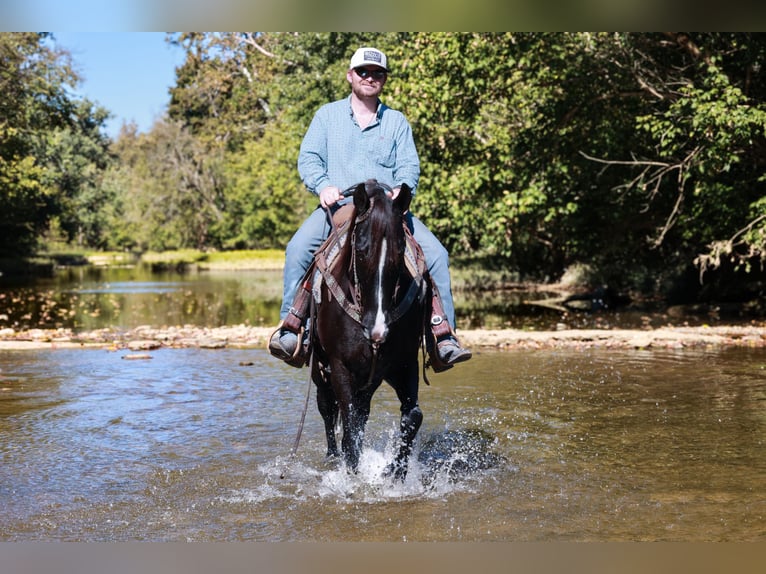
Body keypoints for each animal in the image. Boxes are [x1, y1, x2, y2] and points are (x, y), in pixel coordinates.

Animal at [309, 179, 429, 480]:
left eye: (400, 250)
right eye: (361, 250)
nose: (377, 329)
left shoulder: (403, 363)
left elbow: (412, 416)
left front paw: (394, 472)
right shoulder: (340, 366)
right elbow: (349, 428)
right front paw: (352, 476)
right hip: (320, 368)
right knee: (327, 408)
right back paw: (332, 456)